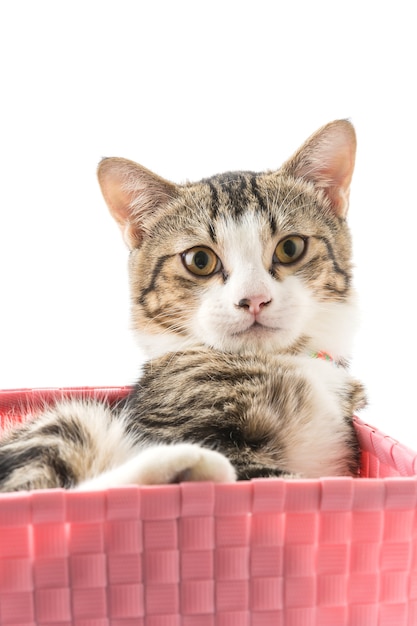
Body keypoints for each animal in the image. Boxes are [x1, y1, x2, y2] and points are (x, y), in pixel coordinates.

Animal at [0, 119, 364, 490]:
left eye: (290, 248)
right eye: (199, 260)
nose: (254, 299)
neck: (284, 359)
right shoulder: (184, 426)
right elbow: (268, 476)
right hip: (70, 422)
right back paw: (186, 463)